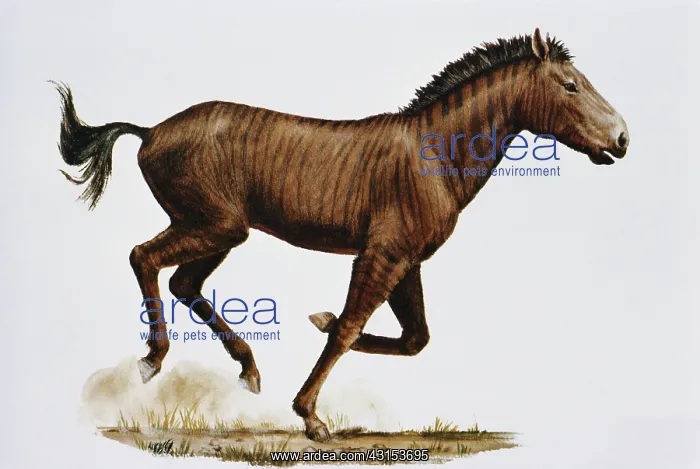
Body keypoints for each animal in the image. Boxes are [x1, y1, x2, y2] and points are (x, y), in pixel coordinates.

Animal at [53, 28, 629, 441]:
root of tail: (151, 131)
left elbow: (413, 339)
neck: (434, 154)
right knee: (144, 257)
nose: (623, 139)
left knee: (183, 283)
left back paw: (248, 369)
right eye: (571, 85)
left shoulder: (407, 262)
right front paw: (310, 416)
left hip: (218, 232)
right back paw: (152, 360)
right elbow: (350, 329)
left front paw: (320, 324)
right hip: (213, 226)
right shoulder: (382, 255)